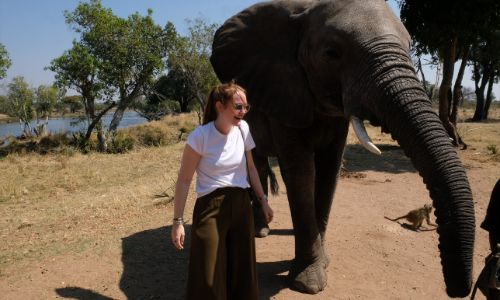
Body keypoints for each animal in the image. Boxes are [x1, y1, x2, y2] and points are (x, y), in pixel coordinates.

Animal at [209, 0, 474, 296]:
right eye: (332, 53)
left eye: (408, 46)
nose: (456, 290)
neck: (303, 10)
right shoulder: (285, 92)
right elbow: (301, 172)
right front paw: (308, 283)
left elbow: (329, 170)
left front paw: (323, 262)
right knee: (256, 162)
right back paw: (261, 231)